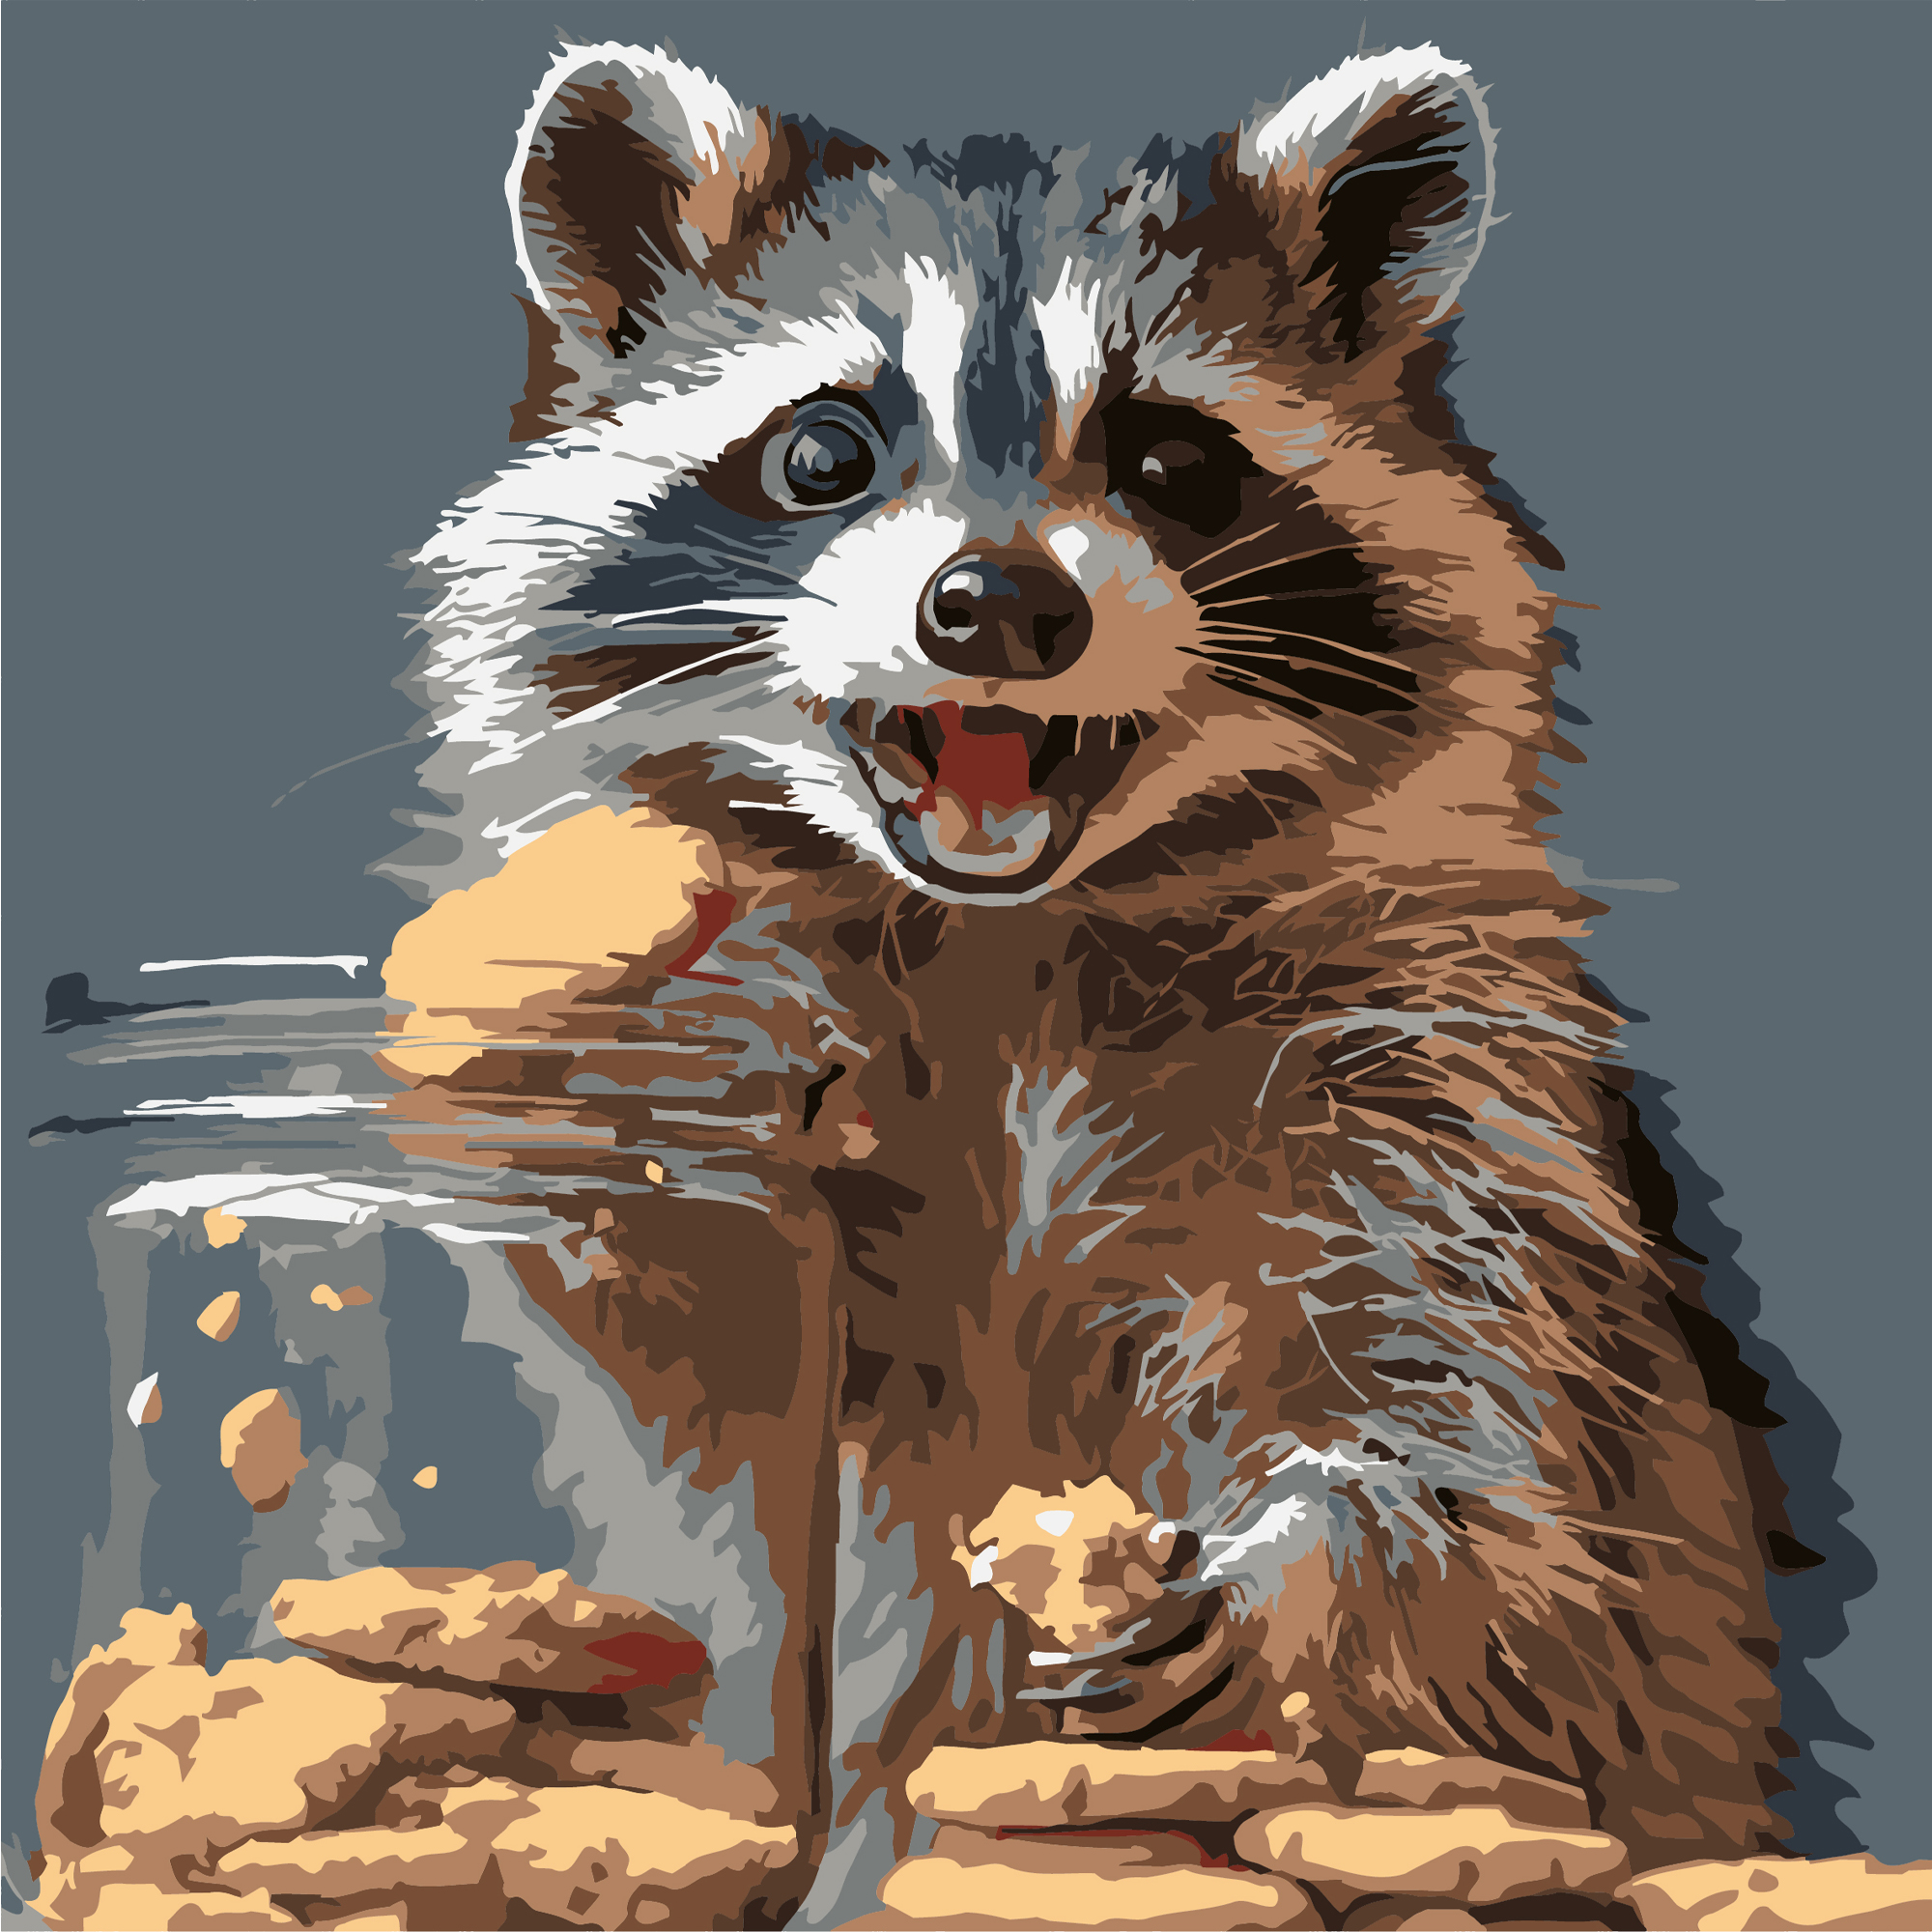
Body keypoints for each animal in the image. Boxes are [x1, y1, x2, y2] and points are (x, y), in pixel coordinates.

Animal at [383, 37, 1801, 1909]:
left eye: (1174, 462)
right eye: (823, 448)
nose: (995, 603)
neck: (1012, 936)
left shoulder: (1444, 1085)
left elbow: (1484, 1462)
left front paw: (1314, 1559)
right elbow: (706, 1434)